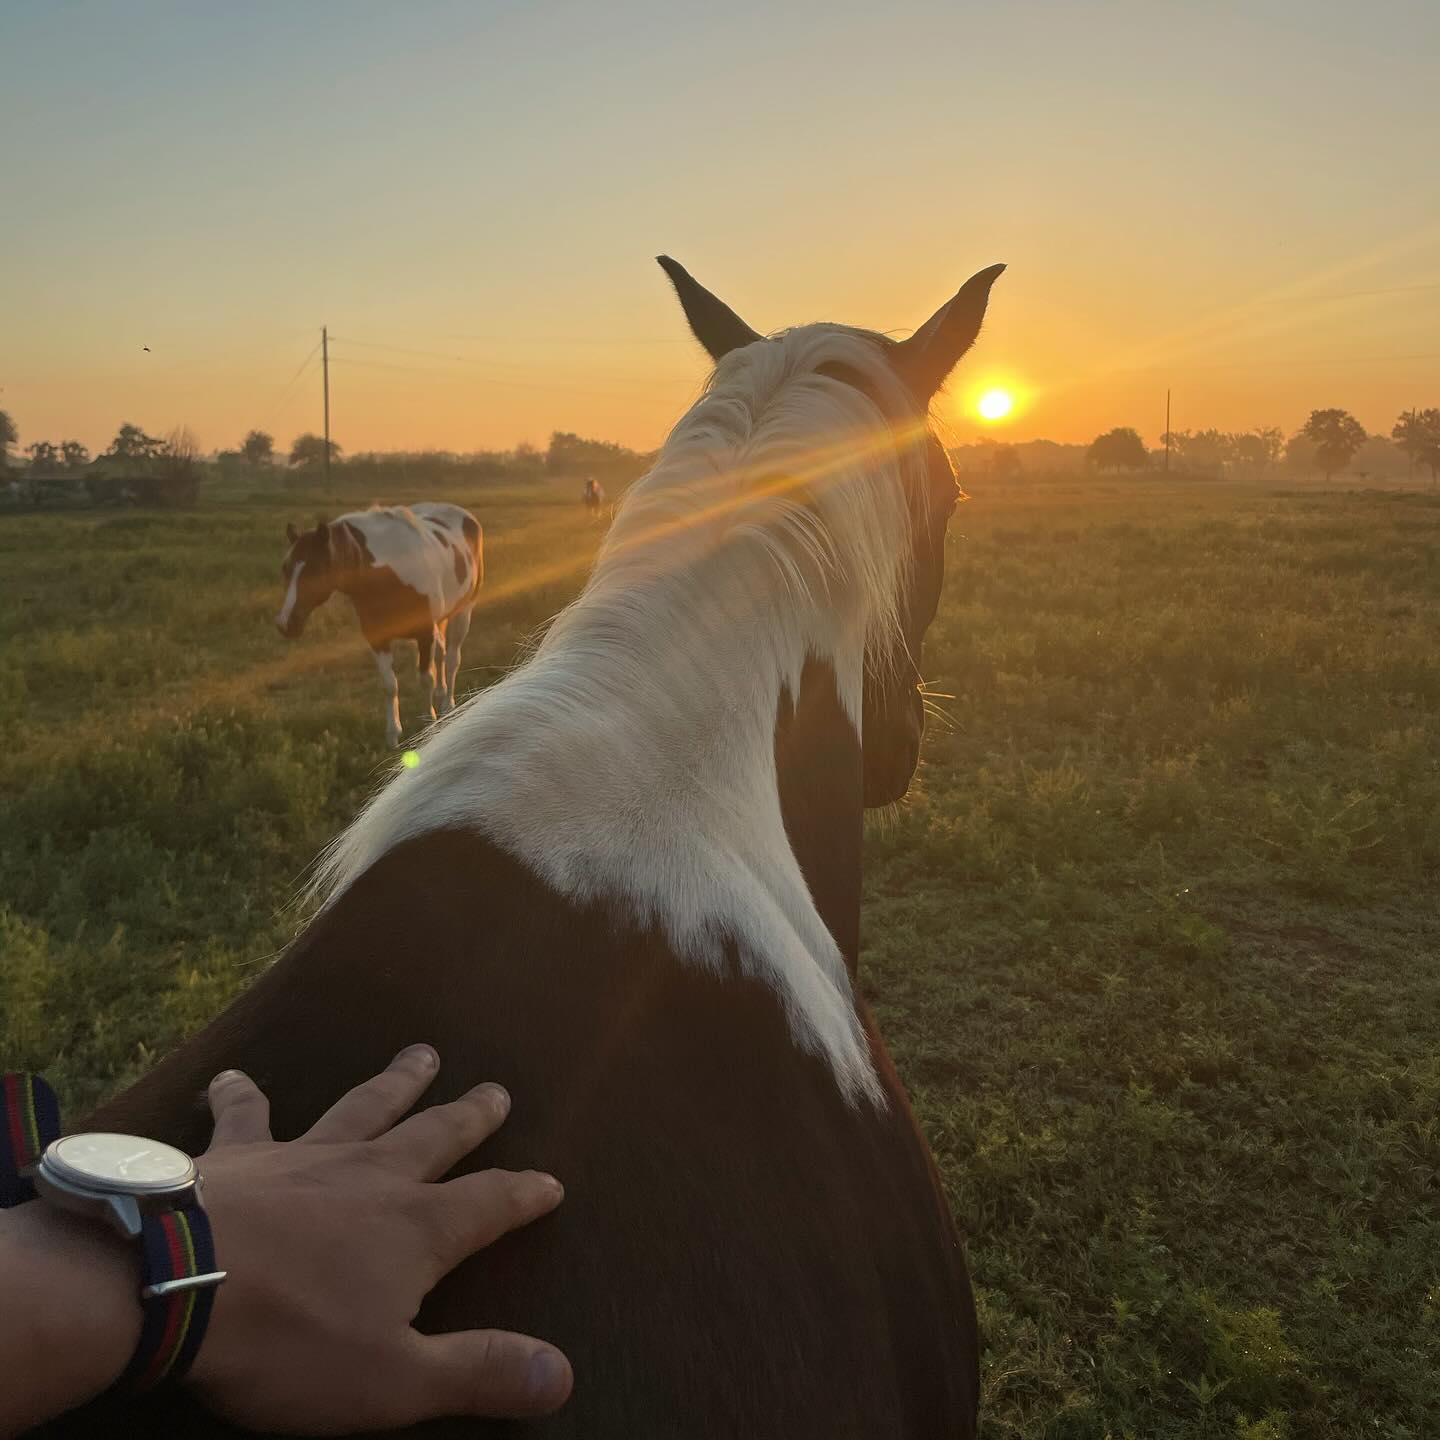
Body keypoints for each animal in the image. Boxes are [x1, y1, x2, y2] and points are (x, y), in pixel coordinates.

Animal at [275, 503, 484, 747]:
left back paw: (448, 703)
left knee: (451, 660)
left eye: (315, 569)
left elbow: (426, 679)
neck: (390, 573)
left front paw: (429, 724)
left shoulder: (424, 633)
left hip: (463, 611)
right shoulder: (377, 637)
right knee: (442, 655)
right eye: (285, 568)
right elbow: (389, 684)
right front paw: (393, 736)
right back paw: (442, 699)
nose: (285, 623)